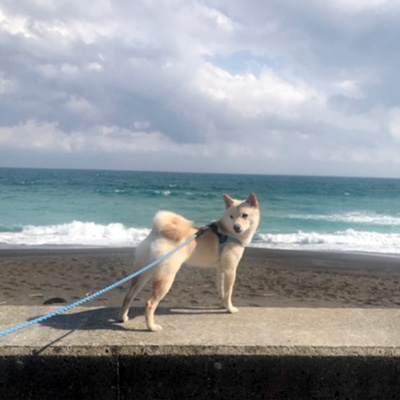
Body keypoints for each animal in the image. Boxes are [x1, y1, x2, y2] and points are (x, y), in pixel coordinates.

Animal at [118, 193, 260, 332]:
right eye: (231, 216)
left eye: (244, 215)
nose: (236, 227)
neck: (227, 232)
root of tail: (157, 233)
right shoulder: (231, 270)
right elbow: (229, 292)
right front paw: (229, 309)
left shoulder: (221, 270)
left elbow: (221, 291)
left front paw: (222, 304)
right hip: (166, 278)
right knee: (149, 303)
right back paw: (151, 327)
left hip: (144, 273)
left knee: (129, 295)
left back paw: (123, 317)